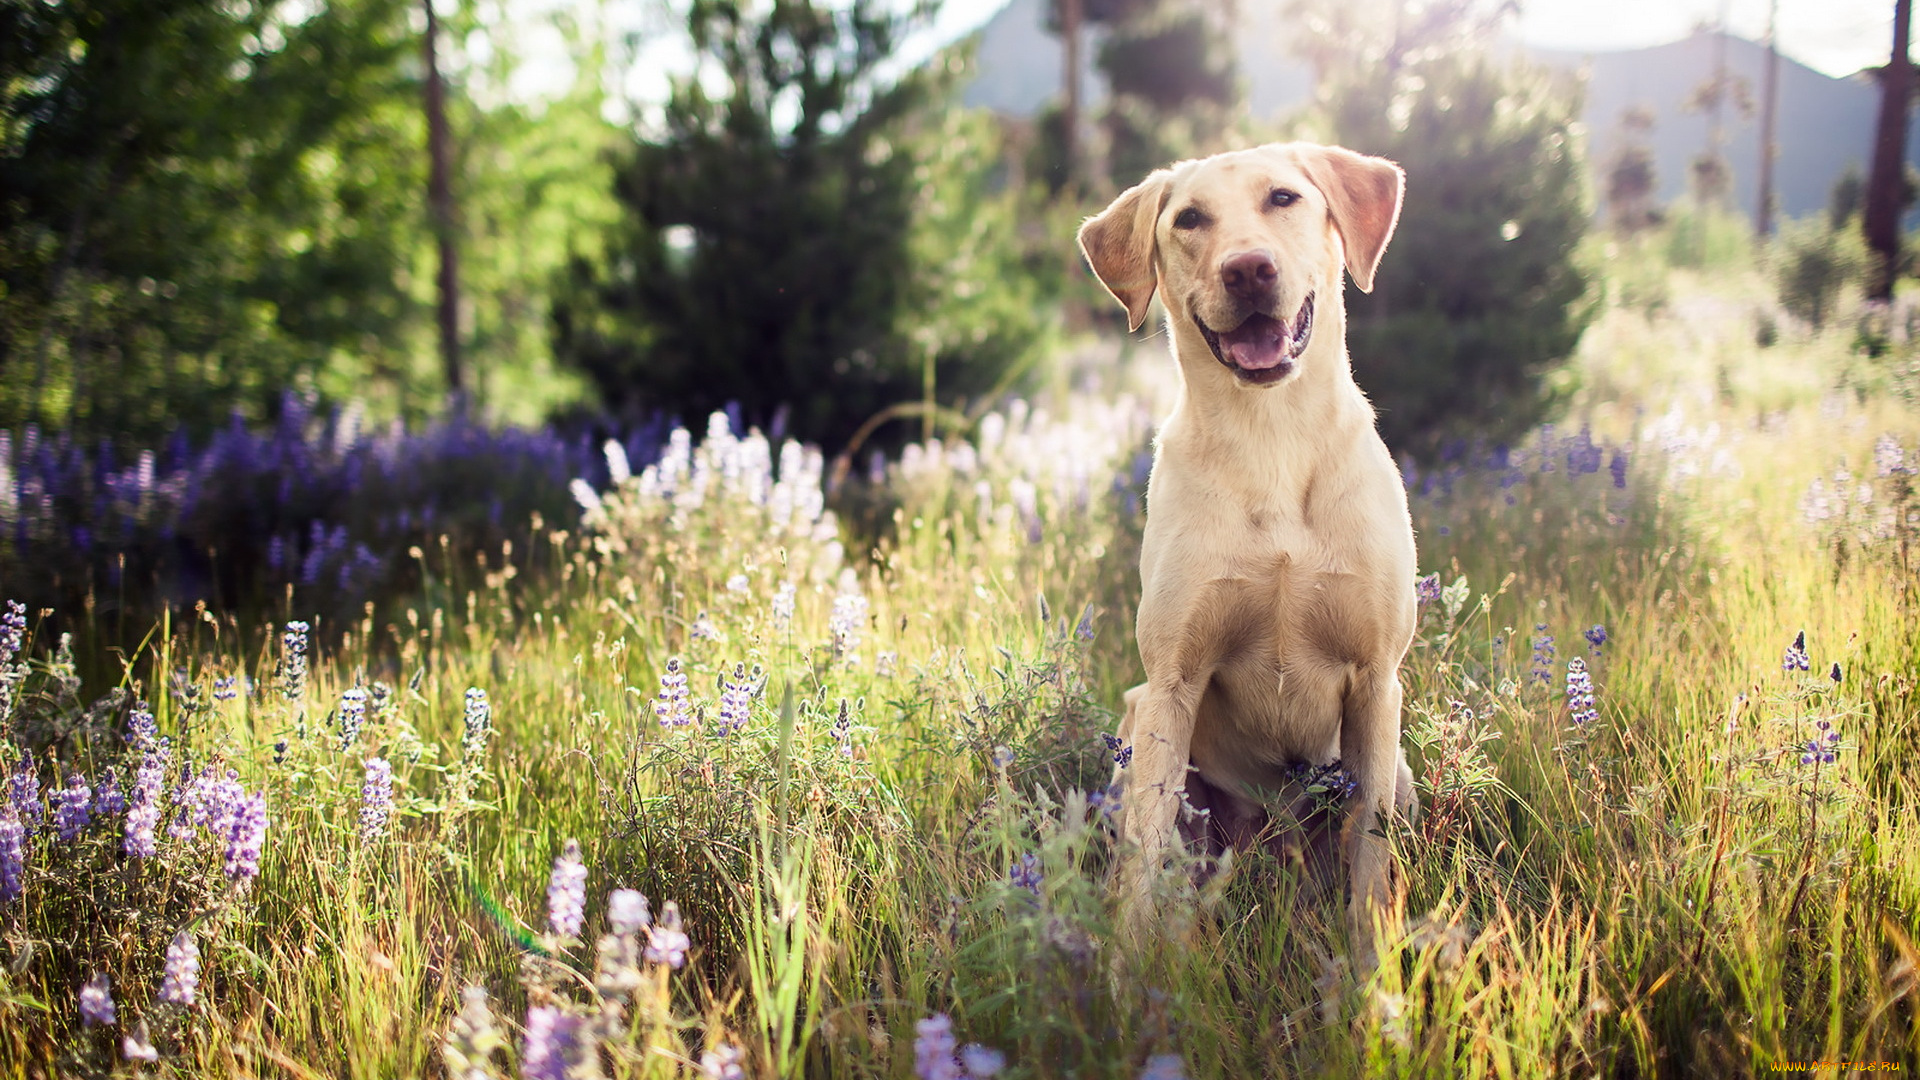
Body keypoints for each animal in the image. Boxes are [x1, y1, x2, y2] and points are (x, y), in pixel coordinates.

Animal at [1090, 141, 1420, 957]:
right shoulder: (1172, 682)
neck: (1271, 435)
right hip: (1136, 726)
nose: (1247, 269)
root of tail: (1276, 845)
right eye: (1189, 219)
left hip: (1398, 767)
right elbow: (1144, 856)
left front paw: (1371, 971)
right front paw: (1126, 974)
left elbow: (1370, 857)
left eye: (1283, 198)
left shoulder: (1377, 680)